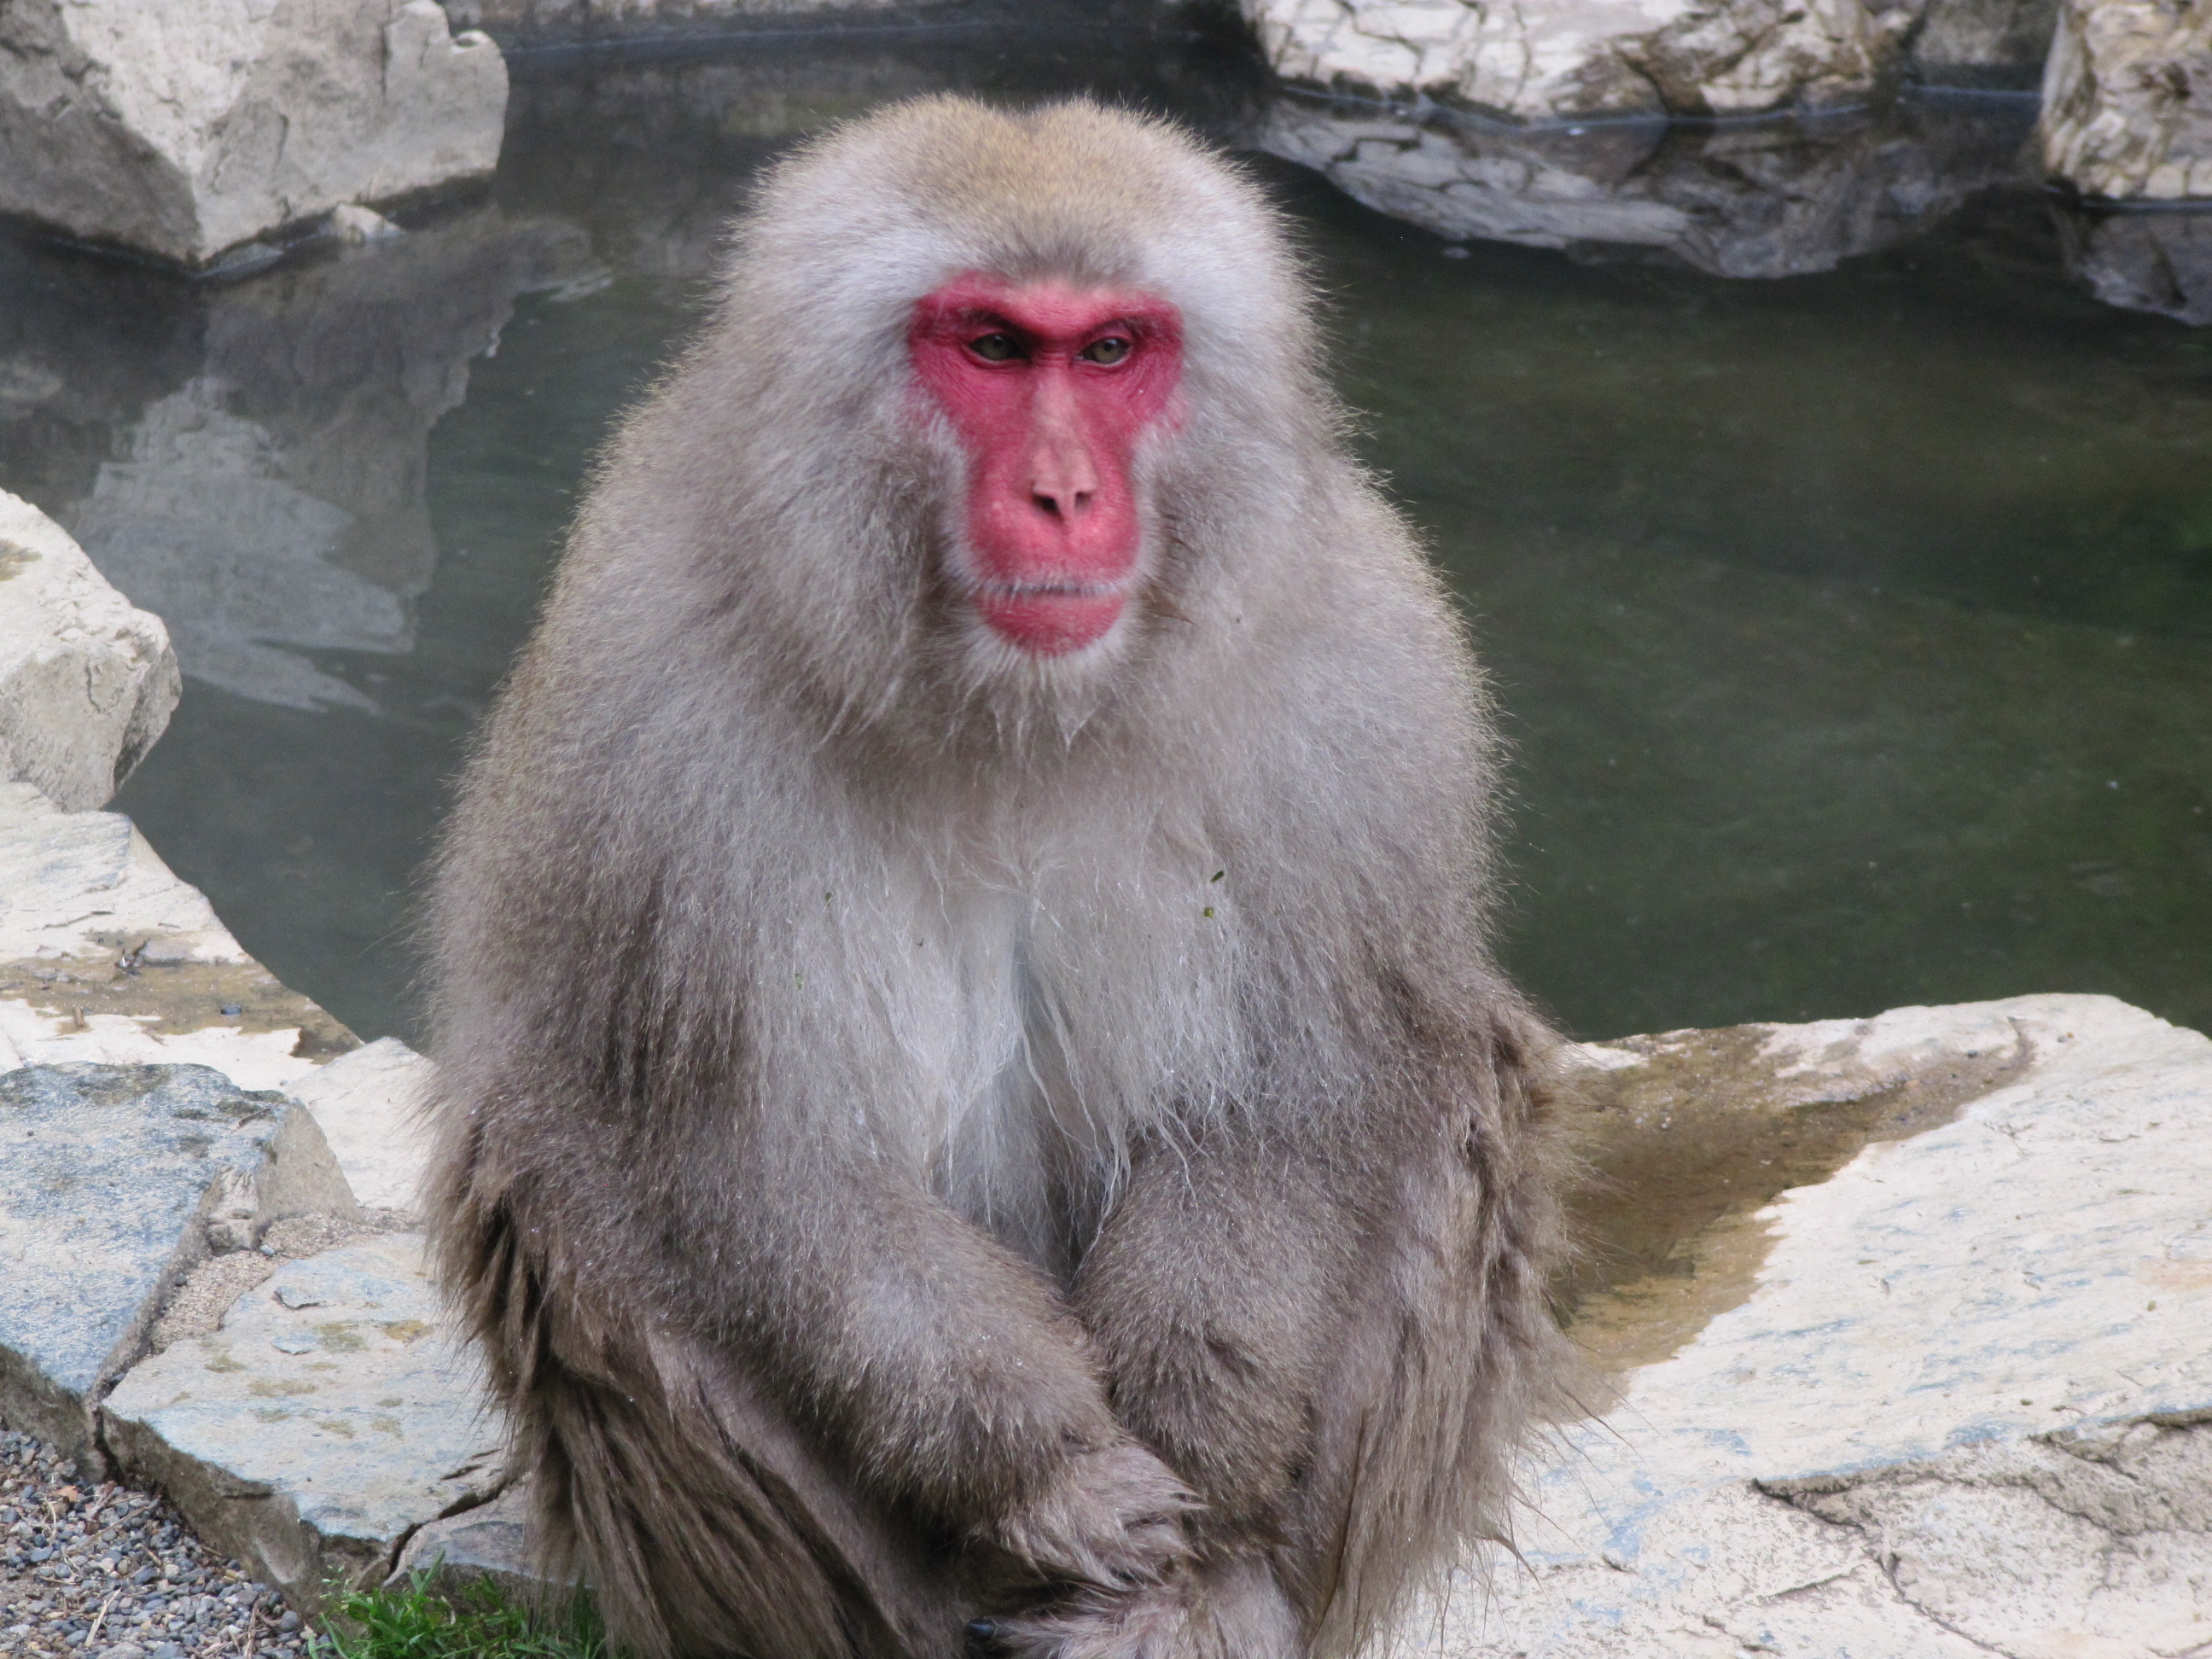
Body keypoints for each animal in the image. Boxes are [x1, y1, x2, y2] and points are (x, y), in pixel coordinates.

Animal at [422, 95, 1566, 1659]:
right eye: (990, 347)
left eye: (1110, 350)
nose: (1064, 493)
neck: (1020, 717)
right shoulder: (647, 700)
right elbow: (744, 1145)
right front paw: (1053, 1478)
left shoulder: (1362, 679)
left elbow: (1311, 1091)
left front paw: (1195, 1455)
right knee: (560, 1174)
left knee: (1450, 1085)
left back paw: (1196, 1596)